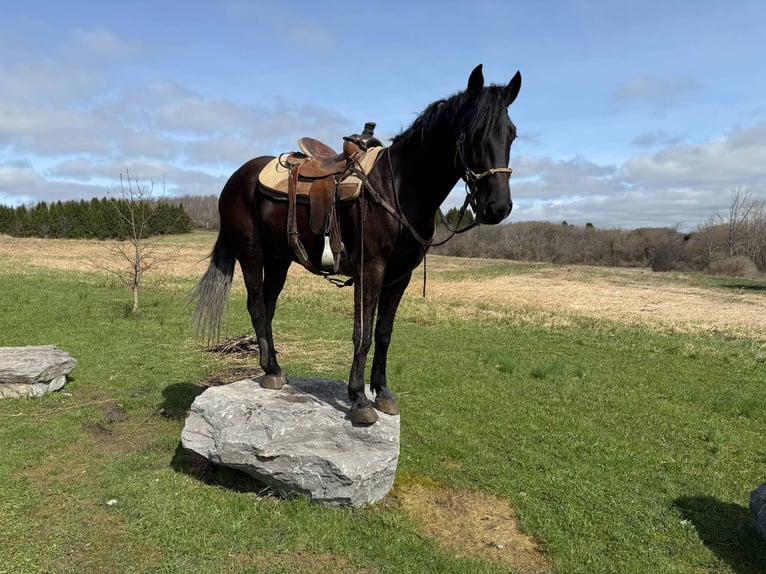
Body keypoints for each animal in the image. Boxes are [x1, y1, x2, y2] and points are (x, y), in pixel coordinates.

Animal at [192, 65, 522, 425]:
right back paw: (270, 372)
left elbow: (384, 332)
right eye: (474, 132)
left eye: (512, 134)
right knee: (255, 306)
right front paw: (359, 400)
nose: (498, 207)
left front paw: (383, 393)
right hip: (251, 253)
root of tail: (237, 178)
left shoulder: (399, 276)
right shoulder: (371, 270)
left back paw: (275, 369)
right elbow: (361, 333)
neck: (400, 188)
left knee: (267, 308)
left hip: (280, 259)